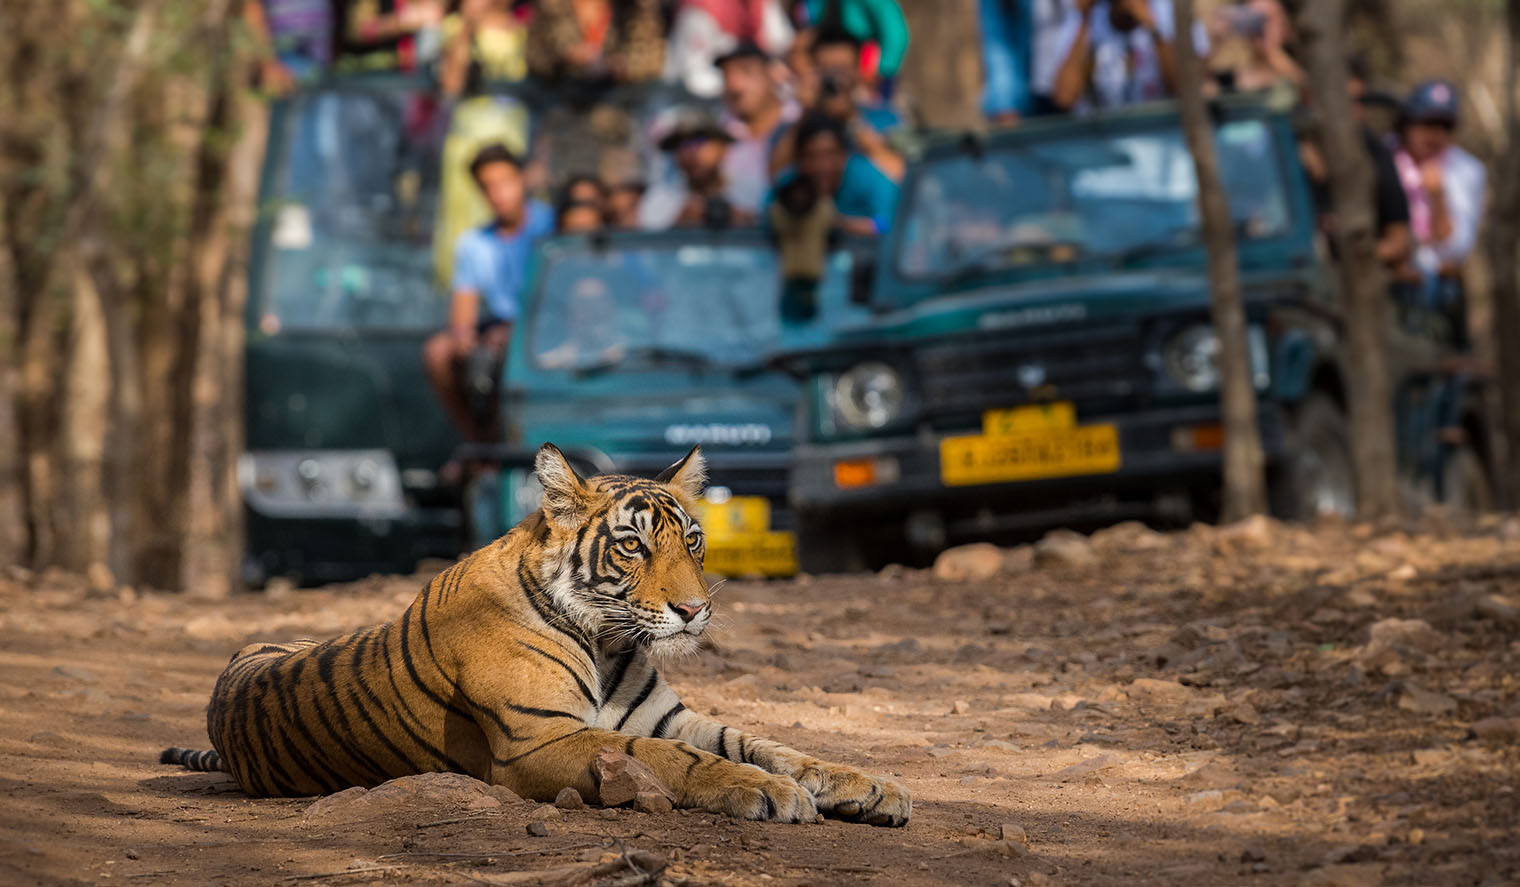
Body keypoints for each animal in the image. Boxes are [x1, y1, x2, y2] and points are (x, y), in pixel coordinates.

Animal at [160, 446, 905, 826]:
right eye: (633, 545)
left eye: (691, 540)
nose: (695, 610)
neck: (607, 640)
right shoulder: (537, 740)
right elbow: (680, 760)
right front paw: (772, 793)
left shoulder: (668, 715)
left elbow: (769, 744)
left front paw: (869, 785)